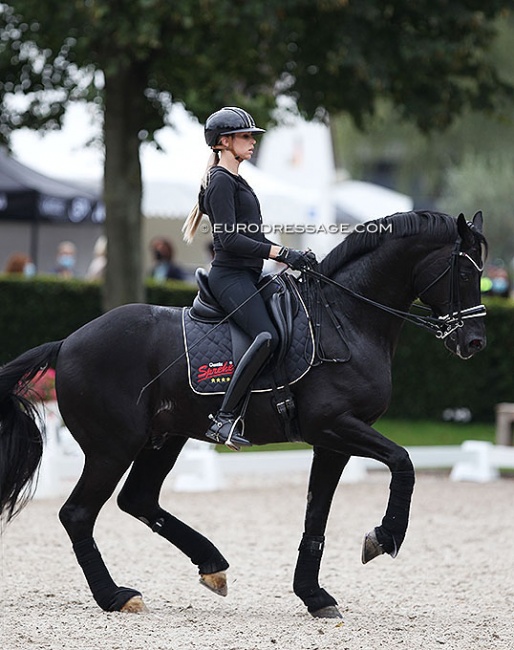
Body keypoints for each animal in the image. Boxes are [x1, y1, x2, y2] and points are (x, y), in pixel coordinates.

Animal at [0, 209, 484, 616]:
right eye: (464, 271)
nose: (474, 343)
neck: (346, 320)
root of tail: (67, 343)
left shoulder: (332, 440)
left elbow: (317, 513)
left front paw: (314, 595)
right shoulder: (336, 426)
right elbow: (404, 462)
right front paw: (384, 537)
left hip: (163, 438)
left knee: (137, 499)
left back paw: (211, 565)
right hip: (112, 447)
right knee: (78, 514)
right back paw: (116, 596)